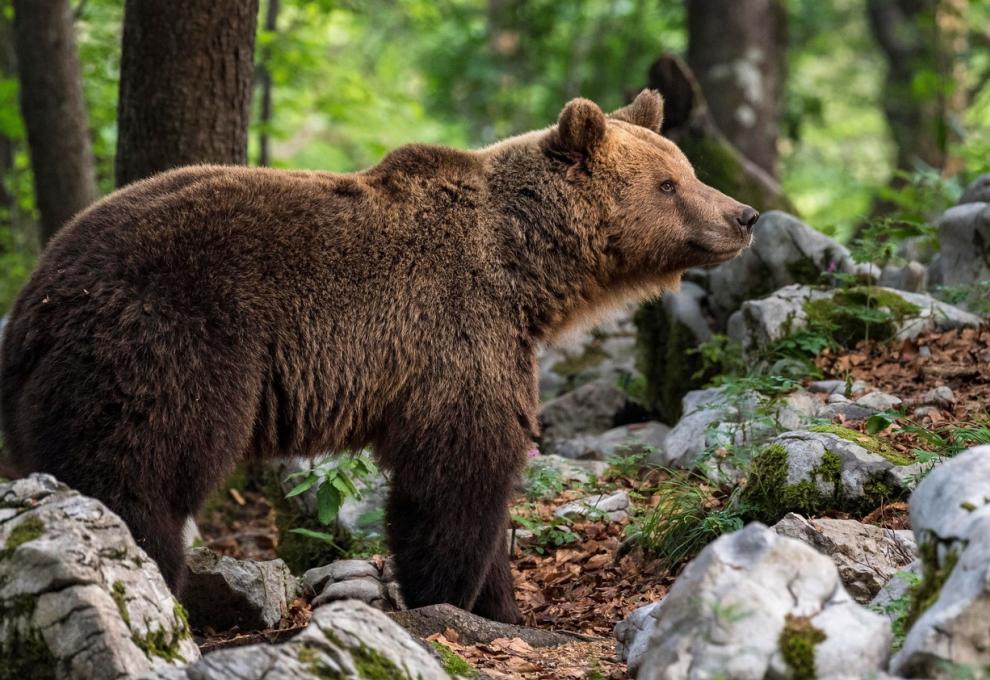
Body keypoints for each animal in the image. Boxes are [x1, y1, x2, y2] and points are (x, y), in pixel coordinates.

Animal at [1, 91, 760, 628]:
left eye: (688, 170)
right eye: (668, 184)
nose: (745, 215)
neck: (526, 271)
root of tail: (38, 291)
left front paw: (505, 606)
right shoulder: (455, 330)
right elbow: (457, 473)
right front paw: (447, 595)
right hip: (166, 341)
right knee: (135, 470)